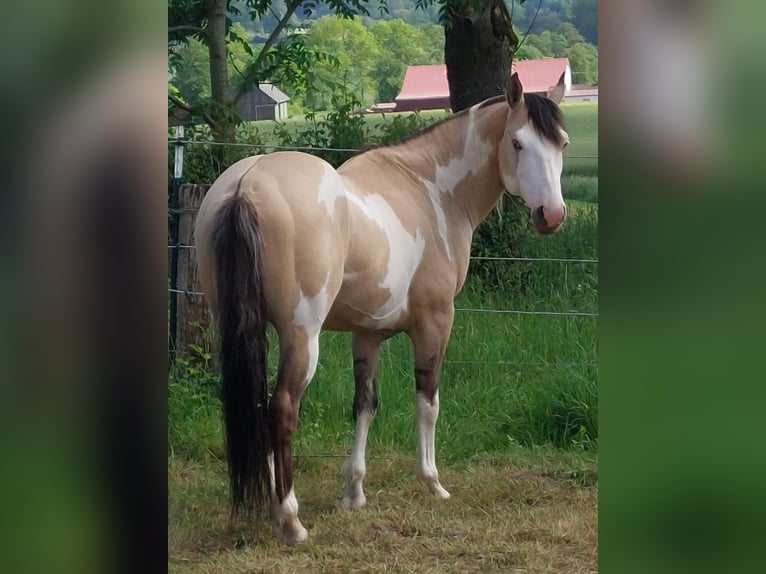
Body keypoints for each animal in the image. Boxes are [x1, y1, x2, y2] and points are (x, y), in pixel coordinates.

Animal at [193, 72, 569, 545]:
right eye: (518, 143)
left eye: (562, 144)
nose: (551, 215)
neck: (430, 189)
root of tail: (248, 183)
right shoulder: (435, 323)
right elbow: (428, 400)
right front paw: (432, 482)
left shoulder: (366, 334)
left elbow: (365, 404)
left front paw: (354, 492)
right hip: (302, 337)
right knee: (282, 409)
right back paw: (290, 519)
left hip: (244, 329)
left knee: (258, 405)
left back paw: (270, 506)